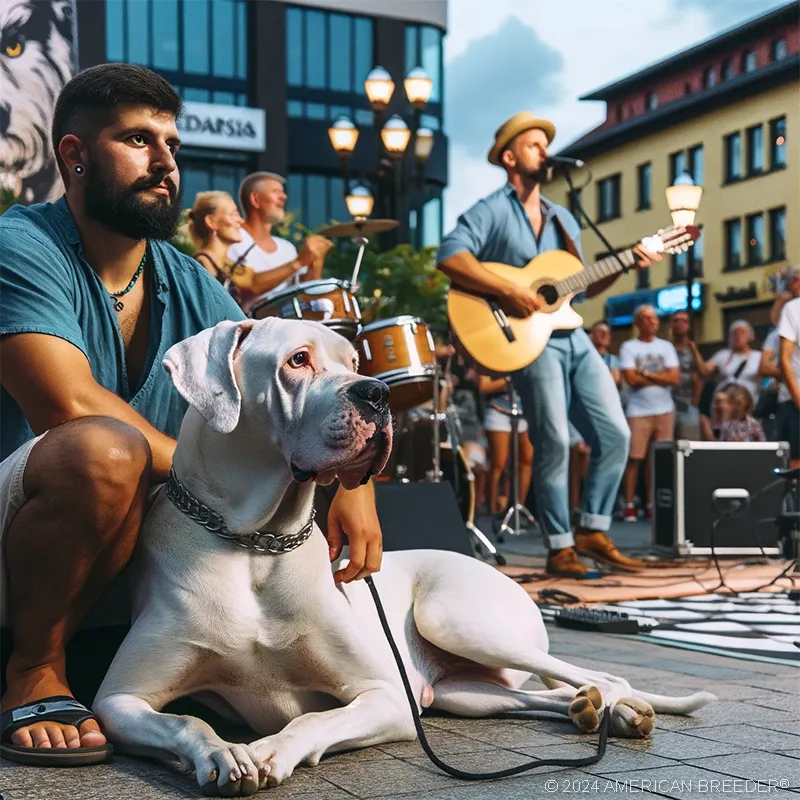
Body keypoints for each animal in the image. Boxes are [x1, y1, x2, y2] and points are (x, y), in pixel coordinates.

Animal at [94, 318, 712, 792]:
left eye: (354, 358)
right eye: (298, 360)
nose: (377, 393)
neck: (255, 543)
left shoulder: (389, 696)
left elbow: (311, 721)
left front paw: (268, 749)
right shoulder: (118, 702)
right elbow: (187, 723)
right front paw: (224, 752)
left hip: (453, 621)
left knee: (603, 674)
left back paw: (620, 708)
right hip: (465, 694)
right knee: (543, 696)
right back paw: (591, 710)